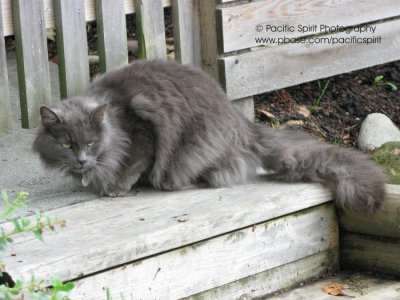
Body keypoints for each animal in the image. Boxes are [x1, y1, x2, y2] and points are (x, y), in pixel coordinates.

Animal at [33, 59, 384, 212]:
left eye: (91, 143)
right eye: (67, 145)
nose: (81, 161)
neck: (116, 124)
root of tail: (242, 123)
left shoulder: (144, 136)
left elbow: (132, 165)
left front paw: (116, 189)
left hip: (195, 149)